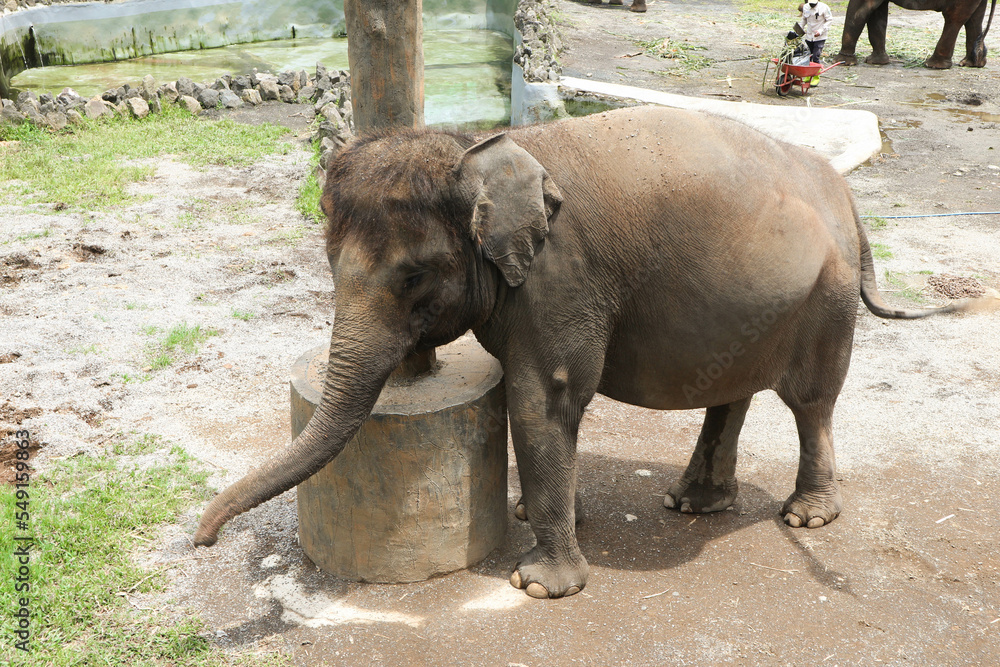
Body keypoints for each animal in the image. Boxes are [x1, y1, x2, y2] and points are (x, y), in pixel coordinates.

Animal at [193, 105, 980, 599]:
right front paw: (537, 518)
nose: (200, 538)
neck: (478, 152)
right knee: (734, 392)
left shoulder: (559, 279)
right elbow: (543, 399)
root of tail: (849, 201)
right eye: (327, 263)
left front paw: (539, 585)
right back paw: (695, 503)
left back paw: (807, 516)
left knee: (811, 401)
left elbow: (544, 396)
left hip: (825, 299)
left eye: (412, 277)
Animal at [834, 0, 997, 69]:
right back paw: (971, 64)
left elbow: (860, 10)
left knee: (954, 18)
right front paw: (876, 62)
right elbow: (878, 13)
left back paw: (934, 66)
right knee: (974, 20)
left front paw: (842, 62)